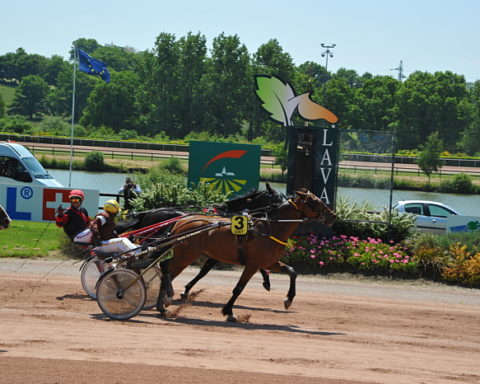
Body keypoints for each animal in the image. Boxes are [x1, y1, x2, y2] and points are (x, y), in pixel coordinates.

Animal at [159, 190, 336, 322]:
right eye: (315, 201)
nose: (333, 215)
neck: (270, 229)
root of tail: (181, 221)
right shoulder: (252, 265)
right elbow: (239, 288)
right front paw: (229, 312)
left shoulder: (269, 262)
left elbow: (292, 271)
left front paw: (288, 299)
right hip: (186, 255)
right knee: (164, 266)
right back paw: (167, 297)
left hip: (184, 257)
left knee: (167, 272)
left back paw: (162, 305)